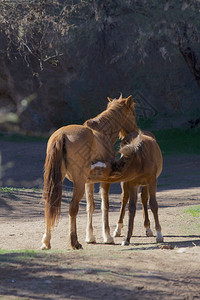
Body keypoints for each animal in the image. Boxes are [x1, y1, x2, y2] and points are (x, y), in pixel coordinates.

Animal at [40, 95, 138, 250]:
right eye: (133, 114)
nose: (135, 131)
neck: (103, 134)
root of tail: (62, 135)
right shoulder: (104, 181)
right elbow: (105, 206)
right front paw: (107, 236)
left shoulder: (88, 182)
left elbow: (90, 206)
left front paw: (90, 237)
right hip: (78, 183)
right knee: (73, 208)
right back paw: (74, 242)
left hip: (58, 181)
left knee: (50, 205)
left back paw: (46, 242)